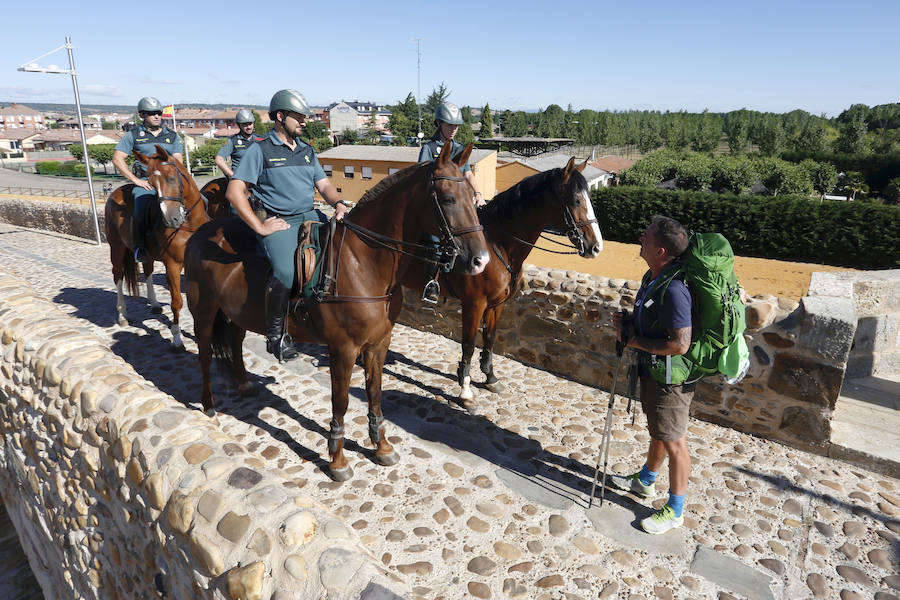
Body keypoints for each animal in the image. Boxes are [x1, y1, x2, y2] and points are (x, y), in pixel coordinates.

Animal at [103, 145, 208, 350]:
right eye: (151, 183)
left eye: (172, 178)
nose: (171, 219)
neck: (189, 223)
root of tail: (114, 193)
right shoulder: (173, 265)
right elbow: (177, 302)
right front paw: (177, 338)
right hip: (116, 248)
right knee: (118, 276)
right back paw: (122, 314)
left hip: (147, 254)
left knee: (148, 270)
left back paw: (154, 304)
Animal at [183, 139, 488, 478]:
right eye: (448, 198)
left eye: (473, 197)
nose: (481, 260)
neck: (363, 262)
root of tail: (200, 234)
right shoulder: (343, 349)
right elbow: (340, 401)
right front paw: (337, 457)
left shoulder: (378, 344)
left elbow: (374, 393)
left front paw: (381, 445)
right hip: (204, 312)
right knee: (205, 354)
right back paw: (208, 404)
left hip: (235, 314)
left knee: (234, 344)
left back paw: (244, 384)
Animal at [402, 158, 600, 404]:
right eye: (576, 200)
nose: (596, 246)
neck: (498, 245)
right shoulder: (474, 304)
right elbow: (468, 344)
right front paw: (465, 388)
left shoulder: (496, 304)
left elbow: (489, 338)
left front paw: (489, 377)